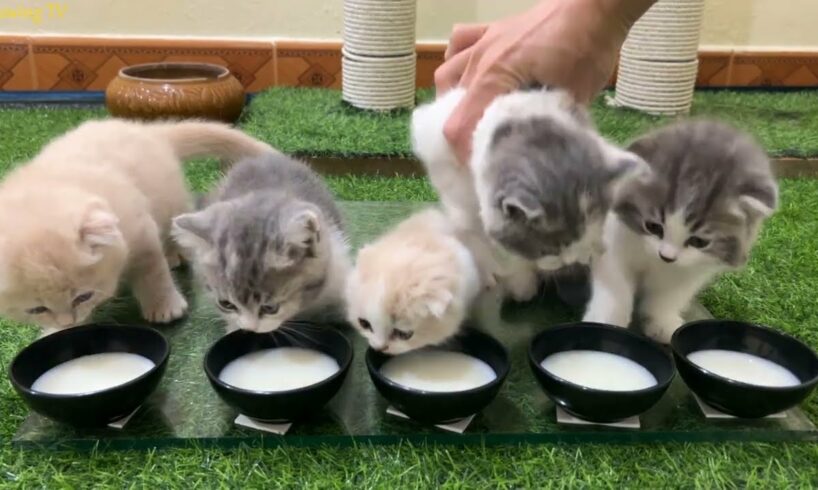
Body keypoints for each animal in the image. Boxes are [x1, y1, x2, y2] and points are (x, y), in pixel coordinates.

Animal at [0, 117, 270, 336]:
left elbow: (151, 269)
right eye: (37, 309)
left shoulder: (140, 228)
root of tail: (148, 131)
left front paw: (165, 306)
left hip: (168, 197)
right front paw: (57, 331)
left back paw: (176, 253)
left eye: (83, 297)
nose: (68, 322)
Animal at [584, 119, 776, 342]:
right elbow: (616, 287)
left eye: (699, 241)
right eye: (653, 227)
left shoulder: (692, 269)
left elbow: (668, 297)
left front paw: (661, 323)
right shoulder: (615, 241)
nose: (666, 256)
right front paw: (605, 323)